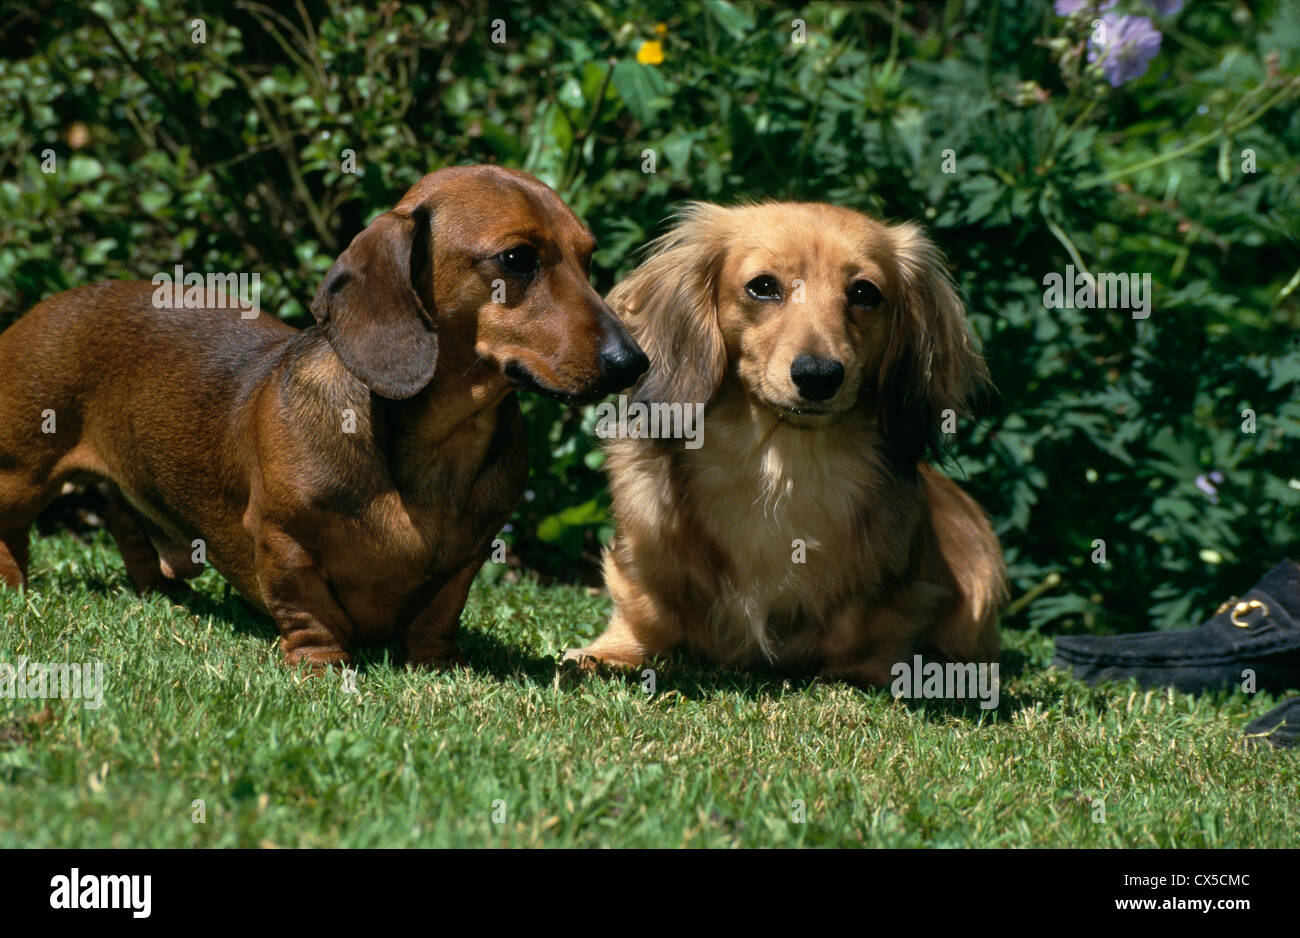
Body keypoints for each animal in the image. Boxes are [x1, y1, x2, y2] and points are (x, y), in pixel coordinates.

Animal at [0, 166, 650, 665]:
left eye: (588, 258)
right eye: (517, 259)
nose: (633, 363)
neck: (443, 445)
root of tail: (46, 306)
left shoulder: (467, 558)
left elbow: (438, 615)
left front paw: (440, 666)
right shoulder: (283, 542)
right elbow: (310, 612)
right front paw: (324, 667)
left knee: (126, 522)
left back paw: (158, 591)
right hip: (23, 471)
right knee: (12, 530)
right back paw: (14, 590)